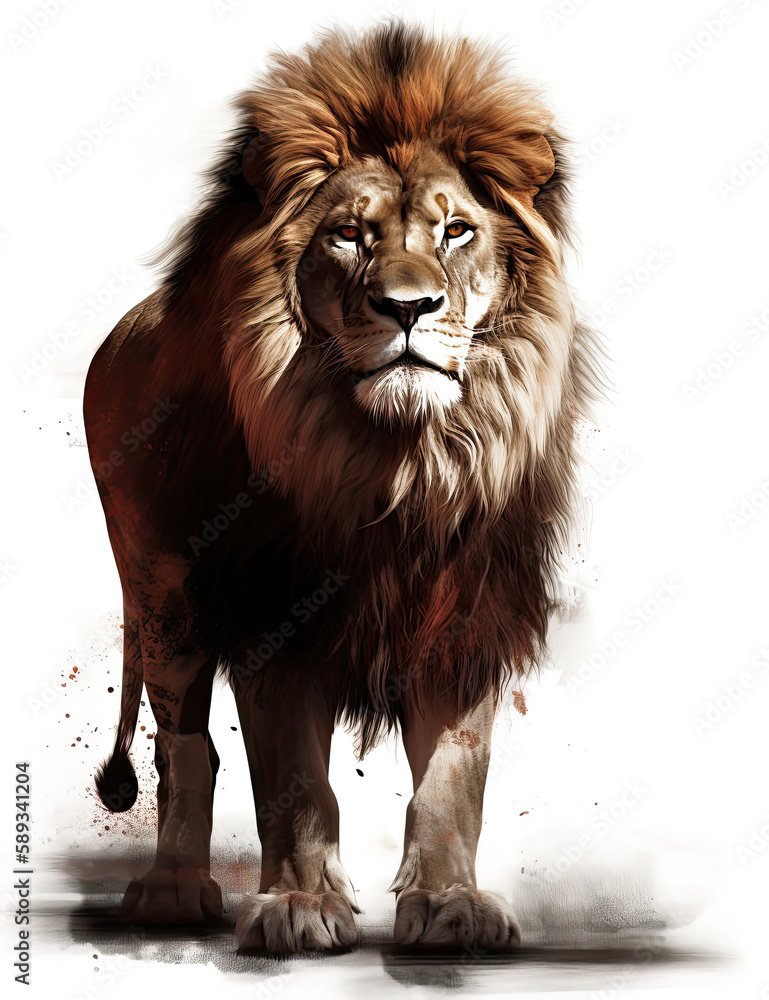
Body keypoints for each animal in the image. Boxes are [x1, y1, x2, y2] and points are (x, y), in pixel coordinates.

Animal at [83, 22, 603, 953]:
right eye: (349, 236)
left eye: (457, 230)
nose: (409, 307)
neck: (393, 463)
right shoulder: (273, 612)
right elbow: (292, 779)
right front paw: (298, 903)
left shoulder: (466, 610)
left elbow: (451, 781)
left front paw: (450, 905)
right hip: (161, 596)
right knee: (184, 748)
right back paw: (173, 891)